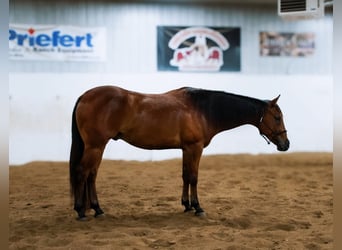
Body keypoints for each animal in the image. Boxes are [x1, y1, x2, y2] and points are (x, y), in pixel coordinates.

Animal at [69, 85, 288, 219]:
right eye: (277, 117)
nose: (286, 144)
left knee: (91, 175)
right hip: (96, 146)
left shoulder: (186, 149)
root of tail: (84, 96)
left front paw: (187, 205)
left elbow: (185, 175)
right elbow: (194, 177)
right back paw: (81, 211)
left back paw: (96, 209)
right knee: (82, 173)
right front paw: (198, 207)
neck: (203, 109)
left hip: (96, 147)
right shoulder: (195, 147)